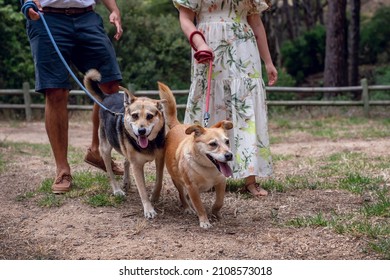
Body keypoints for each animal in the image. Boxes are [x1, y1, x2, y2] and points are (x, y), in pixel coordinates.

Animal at [158, 81, 233, 228]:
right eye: (213, 144)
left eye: (227, 141)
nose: (229, 155)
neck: (208, 169)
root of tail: (176, 125)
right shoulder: (192, 187)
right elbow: (199, 206)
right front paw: (204, 221)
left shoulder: (221, 182)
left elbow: (219, 202)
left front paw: (215, 213)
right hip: (177, 180)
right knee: (182, 195)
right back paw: (187, 208)